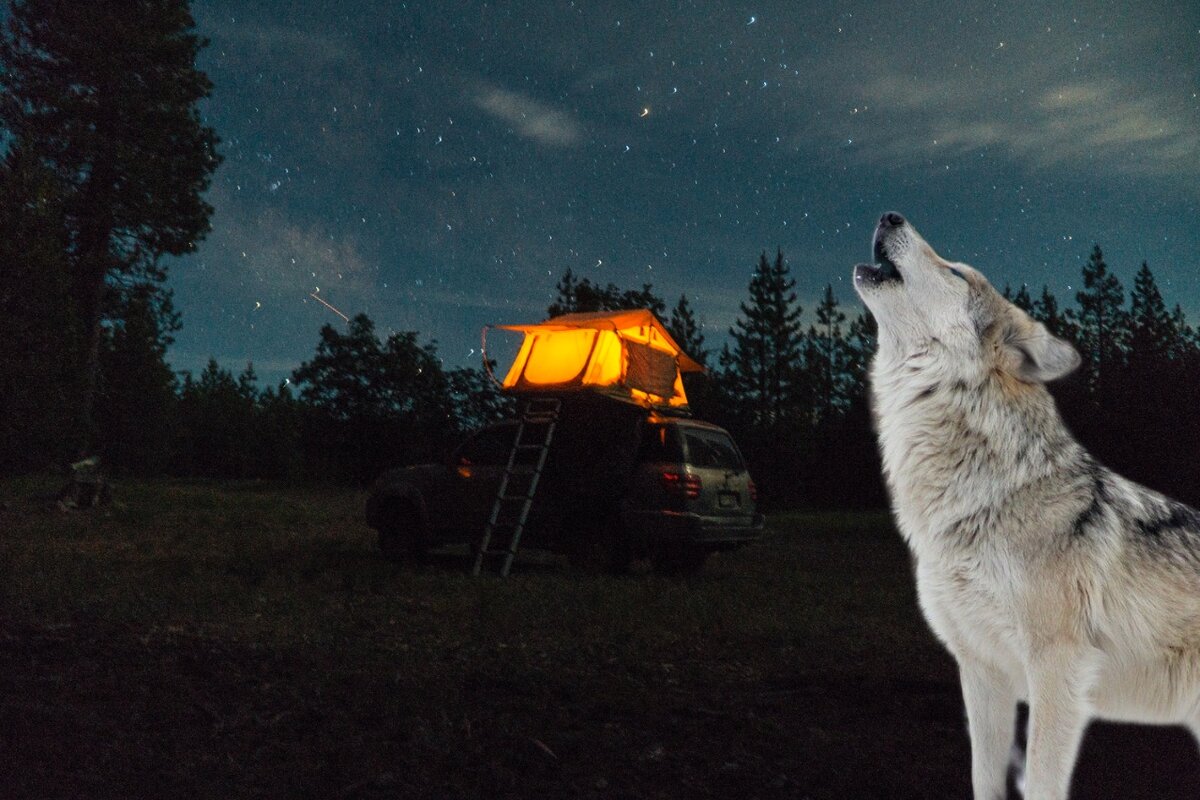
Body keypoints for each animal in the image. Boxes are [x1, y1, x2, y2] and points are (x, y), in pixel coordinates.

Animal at [849, 212, 1200, 800]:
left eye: (956, 272)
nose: (890, 215)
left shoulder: (1057, 669)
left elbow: (1039, 782)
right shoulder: (982, 671)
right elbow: (984, 780)